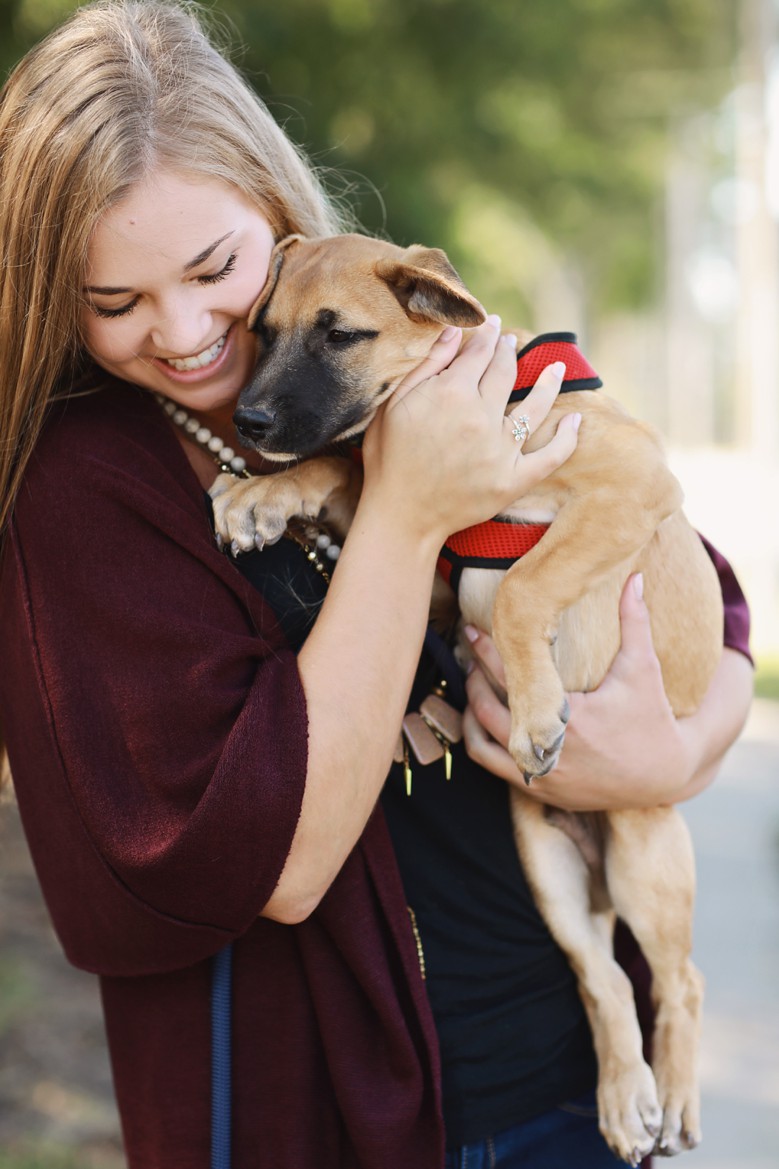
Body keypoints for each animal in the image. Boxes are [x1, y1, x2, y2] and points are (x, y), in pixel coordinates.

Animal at [208, 232, 720, 1164]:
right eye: (261, 329)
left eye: (340, 335)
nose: (248, 425)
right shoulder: (435, 576)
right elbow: (342, 464)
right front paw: (259, 494)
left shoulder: (631, 483)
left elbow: (522, 585)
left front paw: (536, 713)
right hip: (550, 873)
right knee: (601, 980)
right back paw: (623, 1098)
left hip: (645, 855)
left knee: (679, 979)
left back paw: (673, 1094)